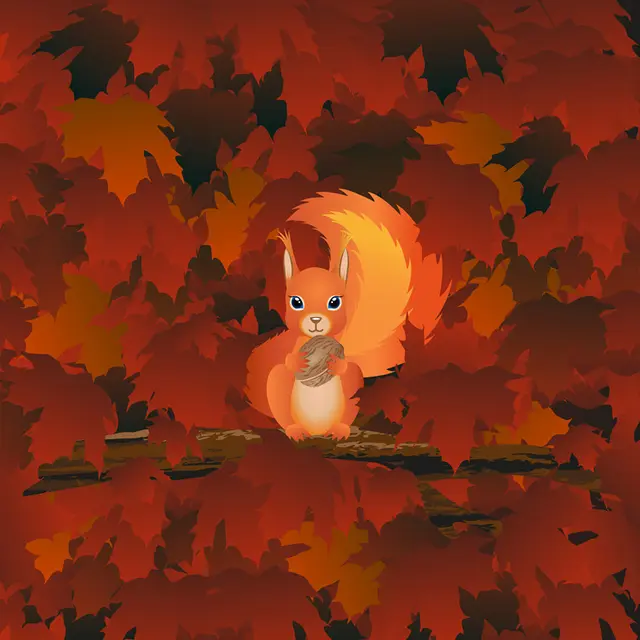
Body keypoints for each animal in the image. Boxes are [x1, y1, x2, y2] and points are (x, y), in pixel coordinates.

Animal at [244, 189, 448, 441]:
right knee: (281, 384)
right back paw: (295, 430)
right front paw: (298, 361)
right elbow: (288, 361)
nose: (315, 320)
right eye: (295, 302)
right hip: (278, 387)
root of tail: (317, 431)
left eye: (335, 302)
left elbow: (351, 368)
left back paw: (340, 430)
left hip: (349, 399)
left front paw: (335, 364)